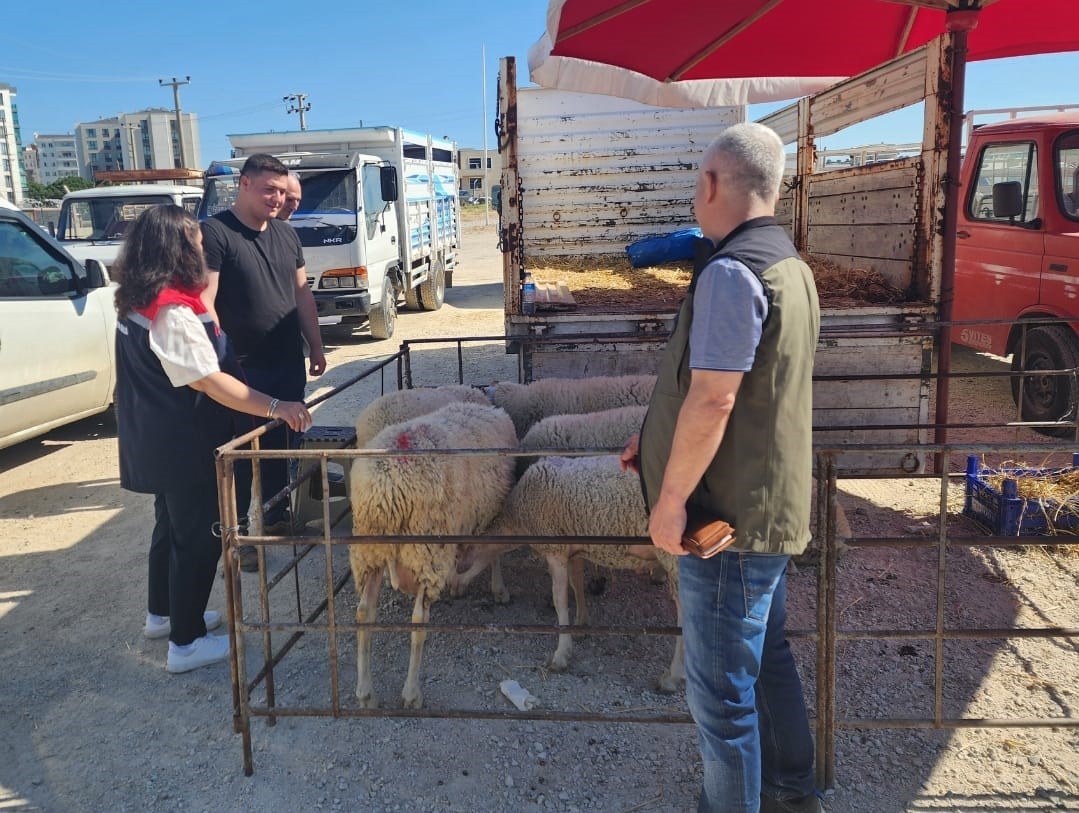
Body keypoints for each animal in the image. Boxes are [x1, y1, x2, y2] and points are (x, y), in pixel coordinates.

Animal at [487, 453, 681, 695]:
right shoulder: (574, 548)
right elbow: (576, 584)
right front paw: (581, 623)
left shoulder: (555, 550)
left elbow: (560, 600)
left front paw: (561, 654)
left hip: (675, 558)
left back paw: (672, 678)